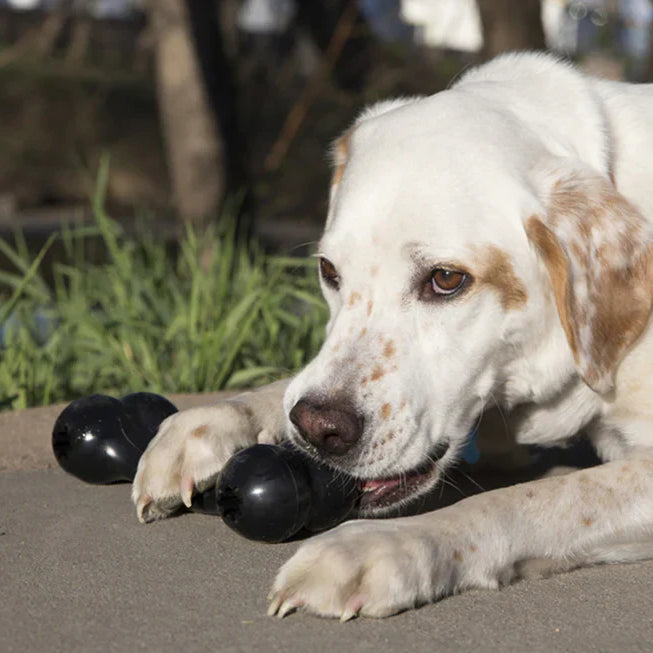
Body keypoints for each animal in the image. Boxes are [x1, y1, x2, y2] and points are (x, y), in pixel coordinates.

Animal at [131, 53, 652, 620]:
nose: (319, 429)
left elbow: (531, 498)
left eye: (446, 279)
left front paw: (380, 546)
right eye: (328, 270)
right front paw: (212, 421)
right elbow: (285, 389)